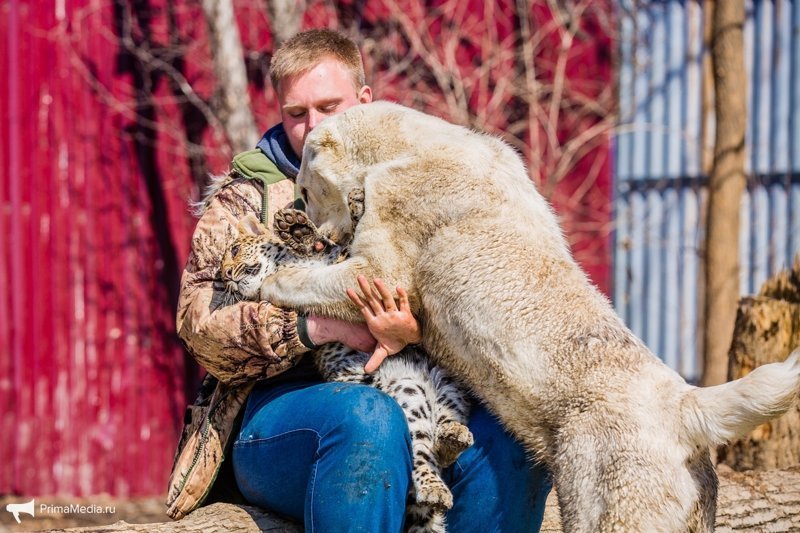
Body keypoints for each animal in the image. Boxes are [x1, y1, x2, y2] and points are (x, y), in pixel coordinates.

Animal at [260, 102, 796, 528]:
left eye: (306, 187)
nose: (321, 235)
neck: (411, 143)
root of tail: (686, 406)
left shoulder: (397, 215)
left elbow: (366, 274)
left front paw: (269, 278)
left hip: (609, 472)